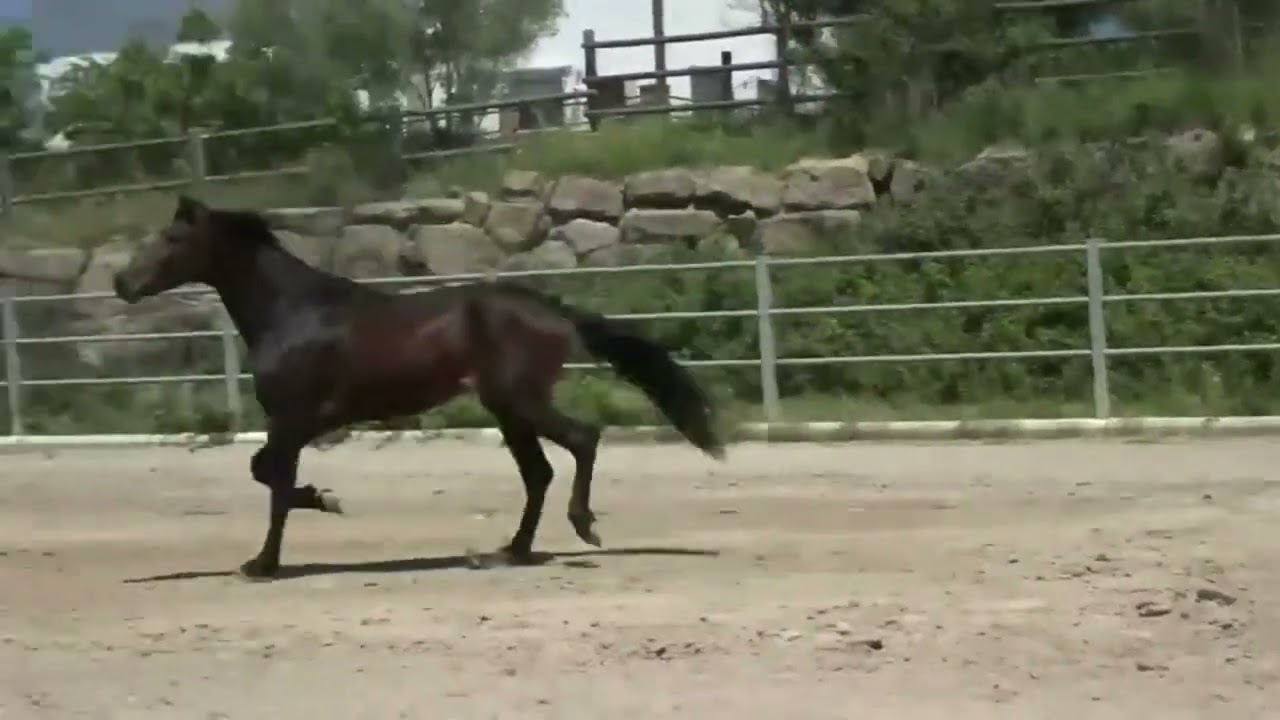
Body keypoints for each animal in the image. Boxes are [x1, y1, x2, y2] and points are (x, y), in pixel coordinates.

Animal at [111, 195, 726, 580]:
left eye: (171, 237)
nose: (122, 282)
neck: (293, 313)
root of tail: (554, 311)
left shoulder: (295, 419)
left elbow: (273, 484)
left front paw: (268, 559)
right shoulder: (298, 424)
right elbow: (269, 477)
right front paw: (318, 504)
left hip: (520, 400)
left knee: (582, 440)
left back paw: (582, 528)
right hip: (505, 410)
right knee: (539, 472)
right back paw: (509, 551)